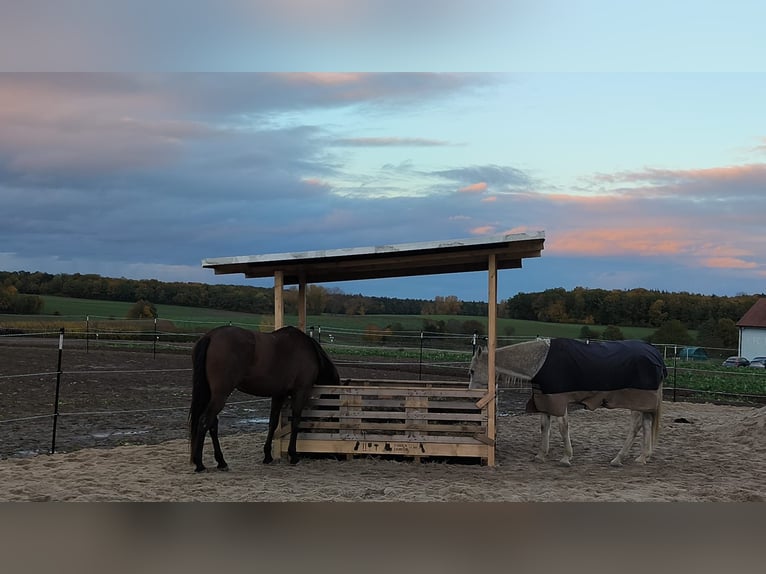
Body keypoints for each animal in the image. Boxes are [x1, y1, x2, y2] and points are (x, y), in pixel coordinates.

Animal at [189, 325, 340, 471]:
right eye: (332, 417)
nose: (336, 455)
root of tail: (211, 336)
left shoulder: (279, 394)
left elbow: (272, 423)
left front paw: (267, 455)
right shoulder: (300, 392)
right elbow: (296, 422)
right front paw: (293, 455)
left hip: (211, 395)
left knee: (212, 424)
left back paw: (221, 462)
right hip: (220, 395)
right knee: (205, 421)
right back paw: (200, 464)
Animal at [469, 338, 666, 466]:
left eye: (471, 371)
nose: (472, 396)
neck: (540, 361)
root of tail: (655, 354)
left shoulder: (558, 400)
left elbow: (563, 428)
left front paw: (566, 458)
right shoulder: (545, 400)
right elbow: (544, 426)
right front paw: (541, 455)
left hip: (636, 401)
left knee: (636, 426)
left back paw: (618, 459)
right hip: (644, 404)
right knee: (647, 424)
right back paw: (643, 457)